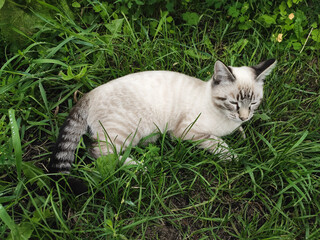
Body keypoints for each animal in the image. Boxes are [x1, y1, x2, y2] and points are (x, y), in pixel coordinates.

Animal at [48, 59, 276, 176]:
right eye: (234, 103)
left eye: (253, 103)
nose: (244, 116)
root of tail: (89, 93)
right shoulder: (186, 131)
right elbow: (217, 143)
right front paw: (235, 157)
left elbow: (237, 132)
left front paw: (242, 134)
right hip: (128, 131)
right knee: (99, 153)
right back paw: (139, 166)